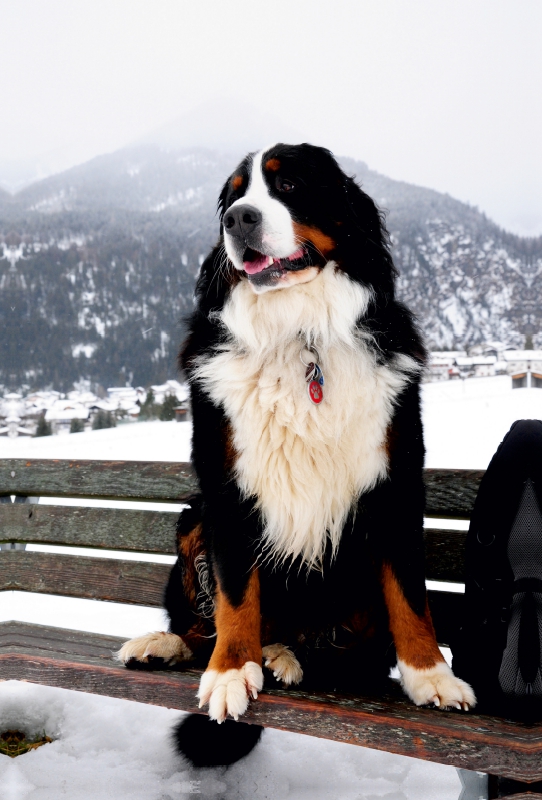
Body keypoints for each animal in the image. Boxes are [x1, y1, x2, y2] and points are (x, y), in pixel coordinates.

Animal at [119, 145, 476, 736]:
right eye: (233, 194)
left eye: (289, 184)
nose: (237, 219)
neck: (298, 332)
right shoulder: (226, 487)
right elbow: (236, 595)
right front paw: (230, 672)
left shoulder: (395, 479)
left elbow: (410, 595)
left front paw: (432, 676)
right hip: (193, 519)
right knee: (202, 626)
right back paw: (167, 644)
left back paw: (281, 655)